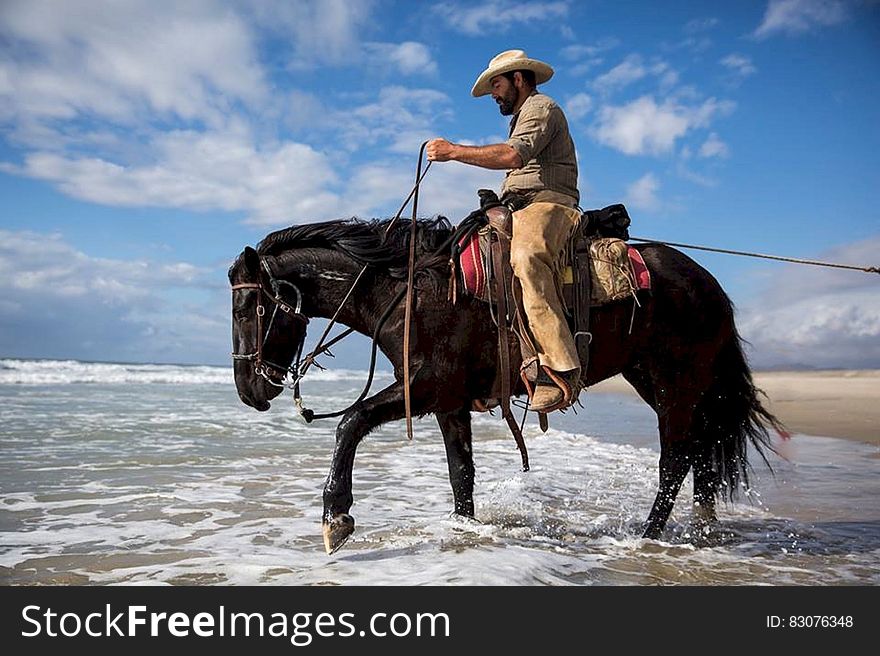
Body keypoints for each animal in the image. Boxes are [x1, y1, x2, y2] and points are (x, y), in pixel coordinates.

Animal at [230, 215, 780, 552]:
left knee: (675, 461)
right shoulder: (448, 401)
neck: (409, 290)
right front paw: (464, 529)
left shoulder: (424, 386)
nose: (249, 391)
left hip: (675, 386)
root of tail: (708, 283)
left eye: (246, 308)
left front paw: (336, 518)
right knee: (701, 456)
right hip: (659, 380)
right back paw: (701, 531)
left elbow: (350, 422)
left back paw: (648, 537)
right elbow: (461, 473)